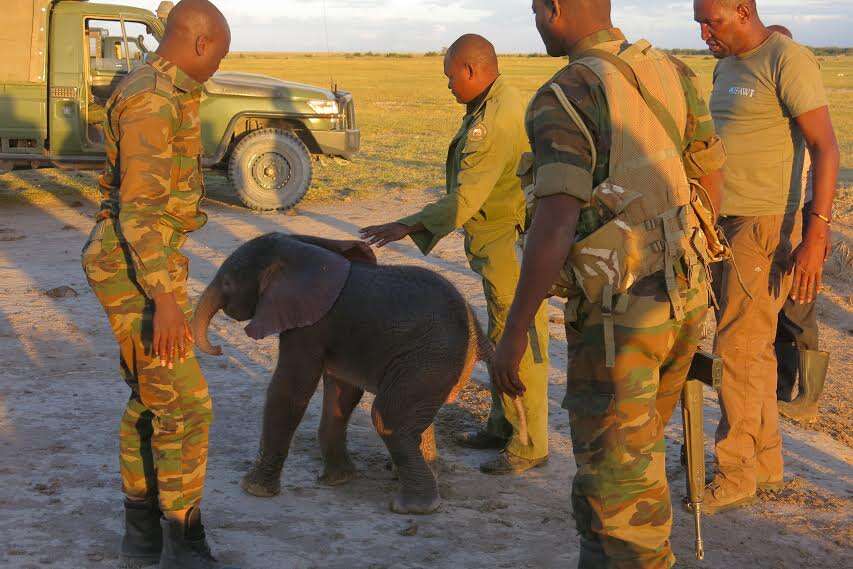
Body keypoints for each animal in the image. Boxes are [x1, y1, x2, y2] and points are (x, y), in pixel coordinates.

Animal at [189, 233, 490, 512]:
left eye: (228, 283)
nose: (218, 348)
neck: (299, 250)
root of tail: (478, 332)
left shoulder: (309, 327)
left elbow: (290, 389)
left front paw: (253, 489)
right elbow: (341, 391)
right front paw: (338, 480)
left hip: (429, 357)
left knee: (387, 416)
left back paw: (413, 507)